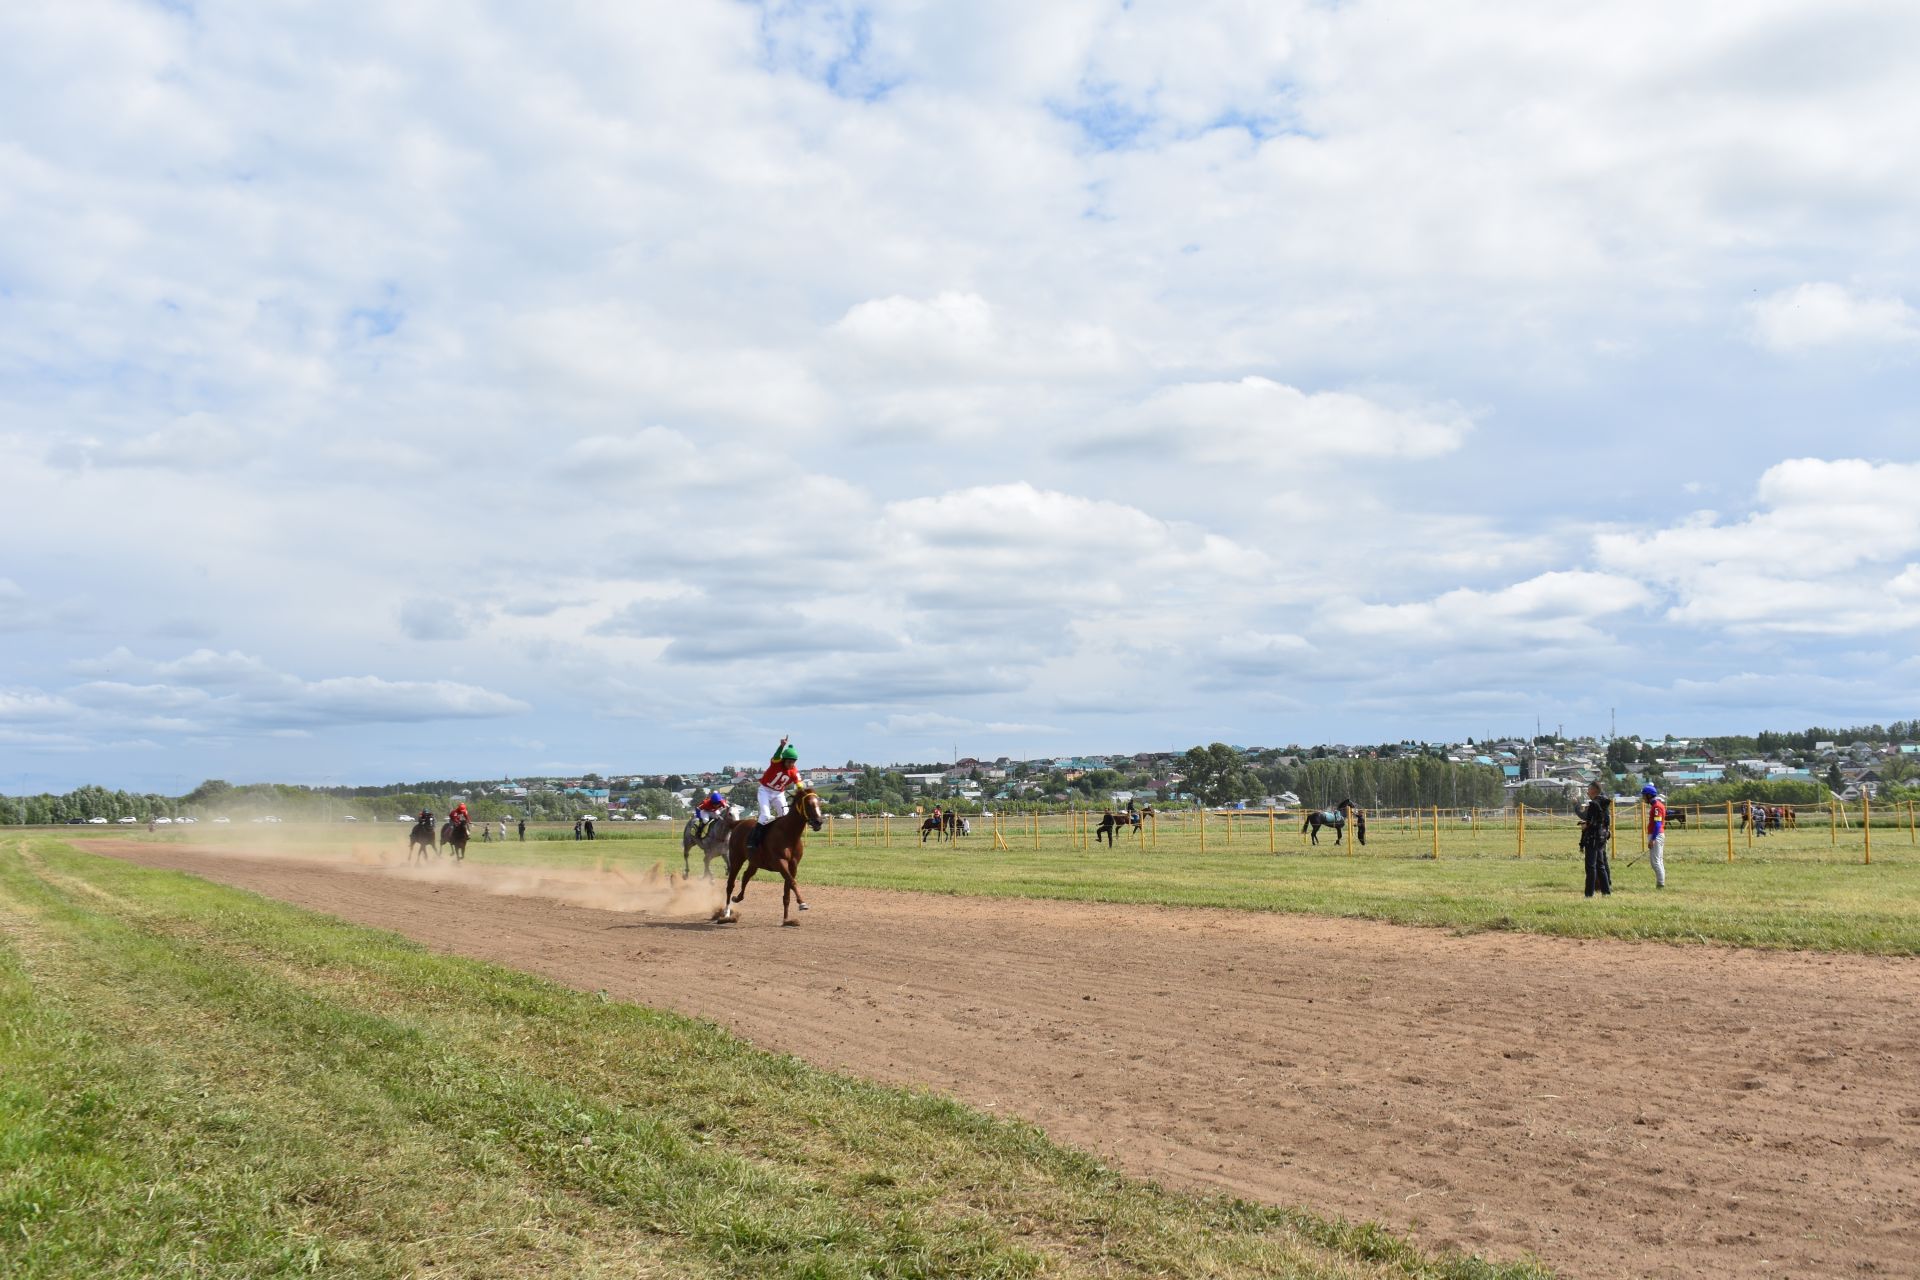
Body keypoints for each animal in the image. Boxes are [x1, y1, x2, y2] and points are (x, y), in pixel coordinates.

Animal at [714, 786, 817, 924]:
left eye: (819, 803)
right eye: (809, 804)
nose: (819, 822)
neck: (789, 834)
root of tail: (739, 823)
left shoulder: (793, 865)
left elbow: (788, 888)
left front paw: (786, 919)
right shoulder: (780, 862)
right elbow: (792, 882)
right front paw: (802, 903)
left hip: (754, 862)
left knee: (746, 876)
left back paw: (738, 898)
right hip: (736, 859)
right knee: (730, 884)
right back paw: (726, 913)